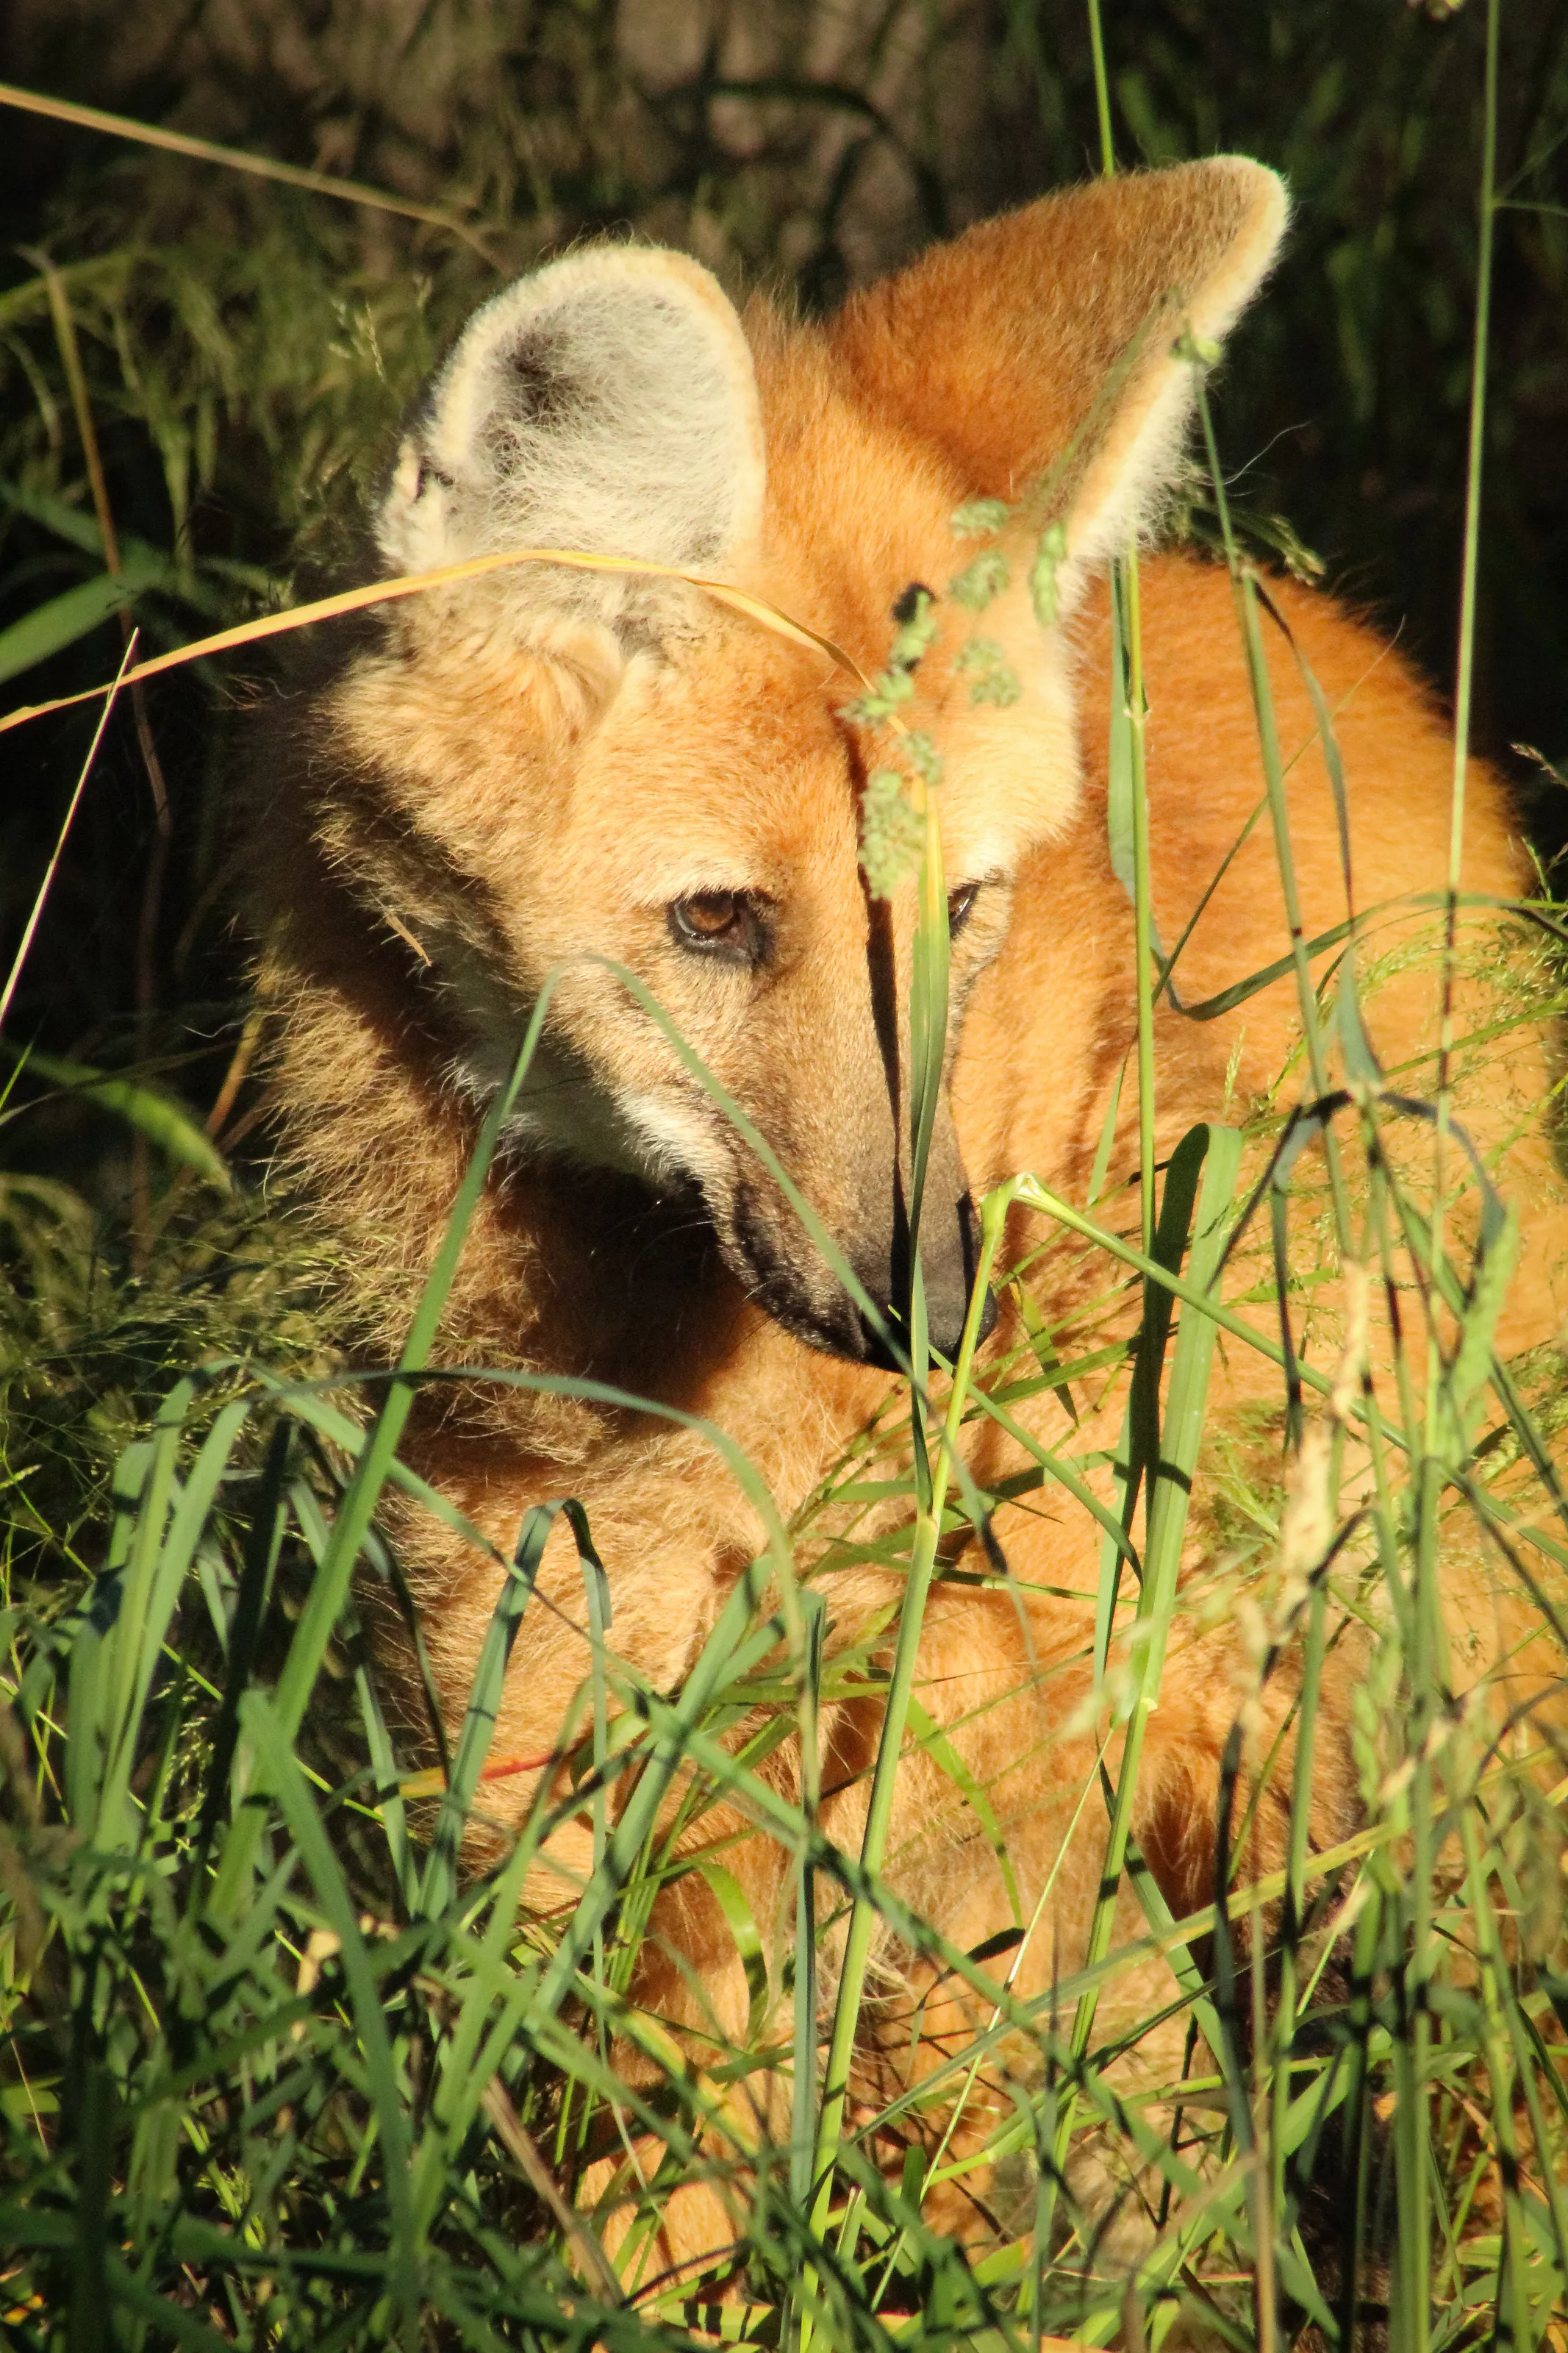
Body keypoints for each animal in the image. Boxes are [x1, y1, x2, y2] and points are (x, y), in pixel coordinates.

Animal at [245, 158, 1568, 2293]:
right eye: (717, 921)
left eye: (952, 912)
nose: (930, 1308)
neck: (630, 1352)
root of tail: (1351, 651)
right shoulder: (537, 1683)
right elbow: (627, 2128)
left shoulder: (937, 1737)